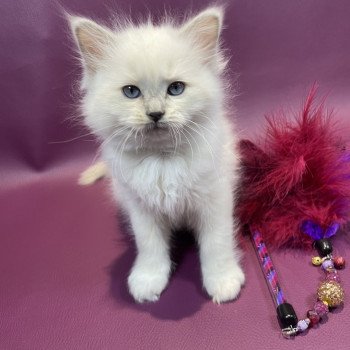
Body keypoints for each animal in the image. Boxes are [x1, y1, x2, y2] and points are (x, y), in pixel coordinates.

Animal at [69, 7, 245, 304]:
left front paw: (223, 281)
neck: (163, 159)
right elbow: (150, 247)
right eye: (131, 92)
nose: (155, 114)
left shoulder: (215, 198)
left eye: (176, 88)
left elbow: (216, 243)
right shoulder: (140, 207)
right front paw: (148, 280)